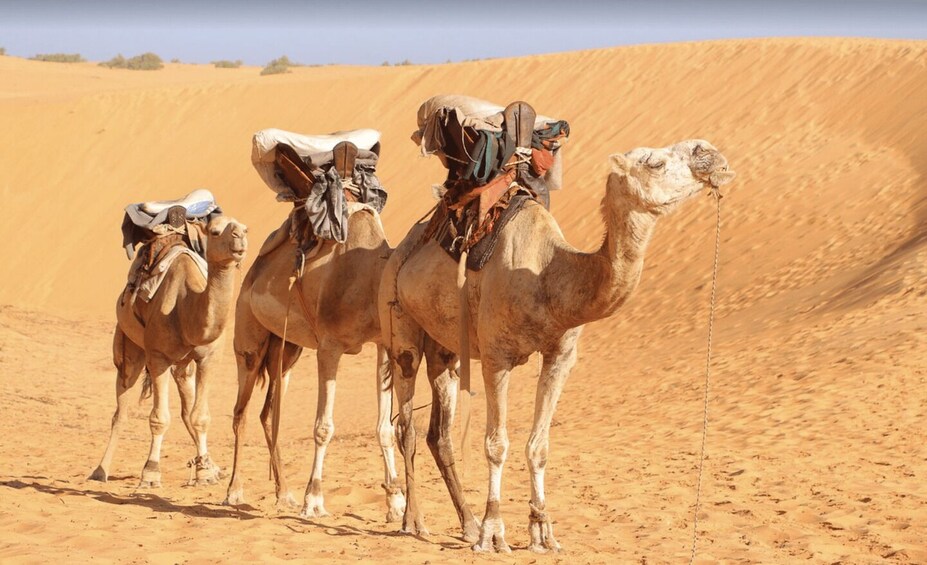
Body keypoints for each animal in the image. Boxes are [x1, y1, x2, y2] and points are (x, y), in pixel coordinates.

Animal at [90, 215, 248, 487]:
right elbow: (159, 418)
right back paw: (100, 471)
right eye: (215, 232)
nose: (240, 237)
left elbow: (200, 417)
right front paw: (150, 473)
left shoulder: (208, 358)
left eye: (244, 228)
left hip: (183, 365)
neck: (186, 307)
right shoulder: (158, 357)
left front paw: (206, 473)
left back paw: (212, 466)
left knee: (187, 408)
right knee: (121, 409)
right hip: (129, 347)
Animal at [223, 205, 406, 522]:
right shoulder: (329, 347)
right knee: (240, 413)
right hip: (248, 338)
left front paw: (395, 505)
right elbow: (323, 427)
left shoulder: (384, 343)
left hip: (287, 351)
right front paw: (314, 500)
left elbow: (384, 428)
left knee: (269, 413)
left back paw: (284, 494)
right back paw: (234, 492)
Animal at [379, 139, 735, 551]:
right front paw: (493, 532)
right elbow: (496, 445)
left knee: (440, 433)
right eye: (655, 162)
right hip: (400, 324)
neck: (549, 276)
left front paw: (542, 531)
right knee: (406, 426)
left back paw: (466, 523)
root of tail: (402, 247)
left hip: (445, 347)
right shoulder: (496, 357)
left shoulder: (560, 356)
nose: (710, 153)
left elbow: (539, 447)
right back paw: (415, 521)